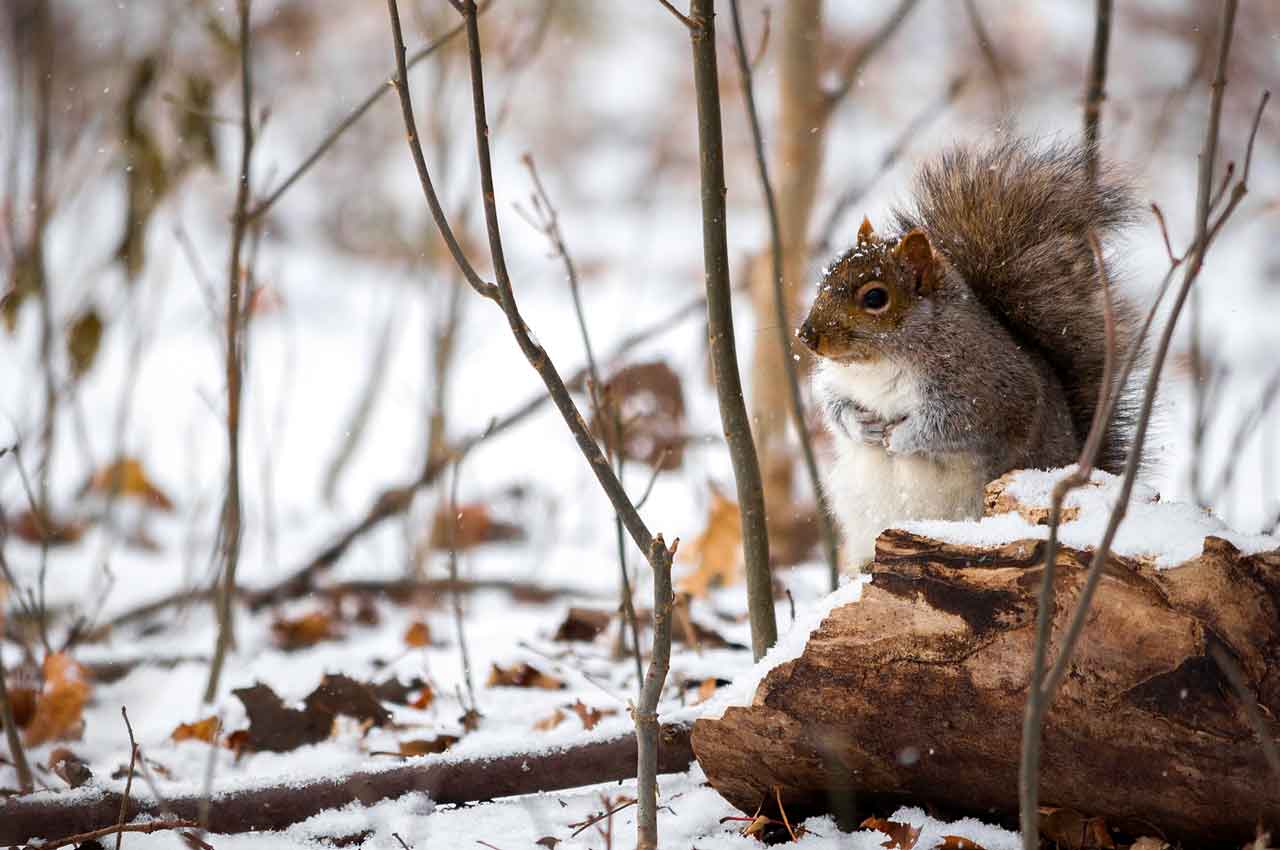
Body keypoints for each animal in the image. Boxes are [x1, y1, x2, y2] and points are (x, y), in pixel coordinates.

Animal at [798, 139, 1141, 563]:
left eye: (875, 298)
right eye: (827, 276)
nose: (806, 335)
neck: (880, 361)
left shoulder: (990, 392)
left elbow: (953, 425)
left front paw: (901, 437)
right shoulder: (837, 381)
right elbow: (833, 405)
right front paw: (863, 426)